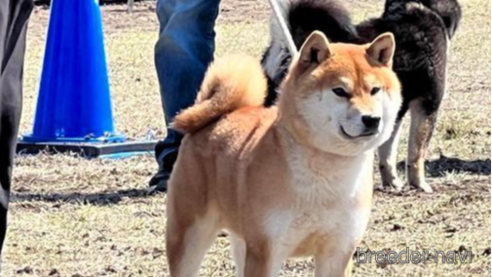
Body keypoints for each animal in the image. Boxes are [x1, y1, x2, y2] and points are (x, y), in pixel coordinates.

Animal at [167, 31, 402, 274]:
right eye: (340, 91)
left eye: (375, 90)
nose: (372, 119)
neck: (327, 170)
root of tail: (220, 115)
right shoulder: (266, 250)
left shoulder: (338, 250)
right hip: (191, 236)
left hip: (242, 240)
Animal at [264, 0, 460, 192]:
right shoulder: (428, 104)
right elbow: (417, 154)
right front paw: (419, 184)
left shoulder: (392, 112)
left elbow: (387, 153)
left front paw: (391, 182)